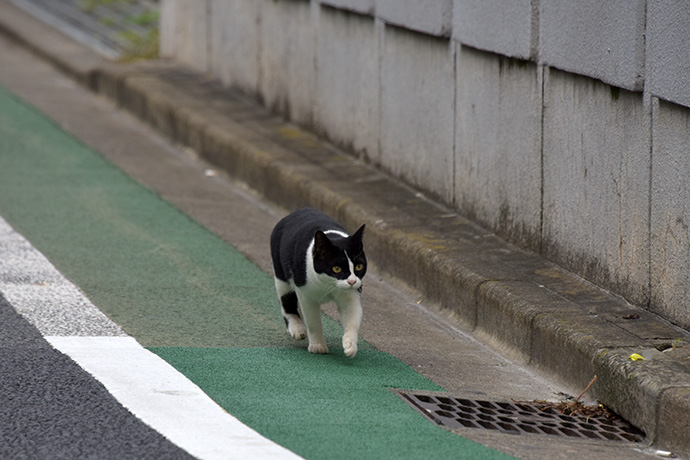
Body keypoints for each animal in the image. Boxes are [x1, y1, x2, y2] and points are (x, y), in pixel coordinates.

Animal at [268, 209, 366, 360]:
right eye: (336, 268)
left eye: (359, 266)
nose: (352, 281)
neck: (328, 285)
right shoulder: (305, 295)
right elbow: (313, 322)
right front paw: (318, 346)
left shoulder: (350, 295)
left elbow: (353, 318)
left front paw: (350, 344)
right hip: (280, 274)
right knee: (286, 300)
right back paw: (297, 327)